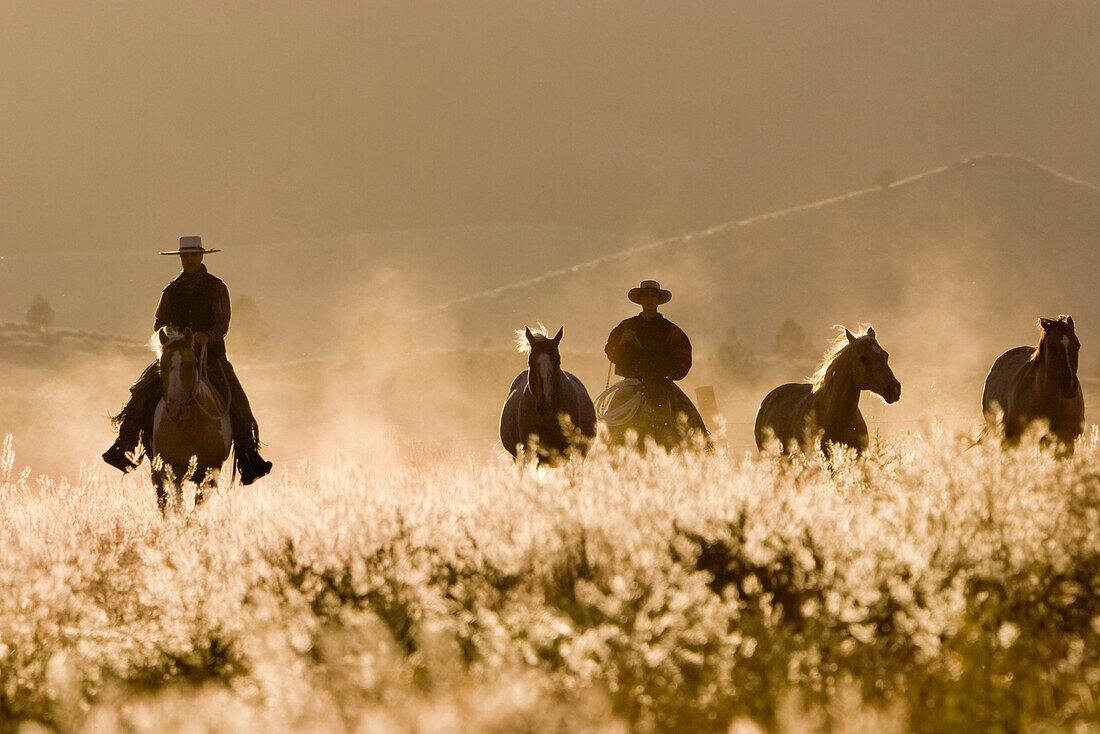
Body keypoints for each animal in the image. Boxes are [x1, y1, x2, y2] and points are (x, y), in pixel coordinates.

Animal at [146, 330, 232, 515]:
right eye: (162, 366)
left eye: (191, 364)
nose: (174, 408)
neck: (190, 428)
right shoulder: (173, 472)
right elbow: (180, 507)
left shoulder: (210, 474)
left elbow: (195, 511)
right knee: (162, 500)